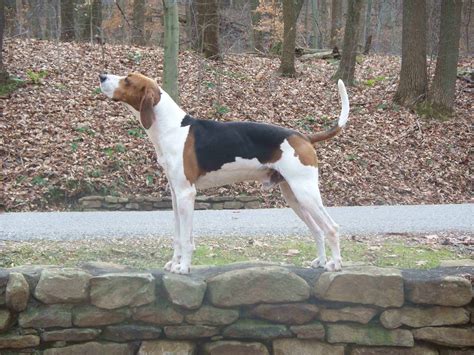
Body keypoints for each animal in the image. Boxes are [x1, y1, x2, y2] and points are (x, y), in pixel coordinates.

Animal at [100, 72, 350, 276]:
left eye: (127, 80)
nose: (102, 76)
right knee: (317, 230)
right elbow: (178, 236)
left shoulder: (186, 194)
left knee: (331, 228)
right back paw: (320, 261)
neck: (171, 127)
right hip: (294, 196)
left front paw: (184, 267)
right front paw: (174, 263)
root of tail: (303, 137)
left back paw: (335, 264)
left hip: (305, 192)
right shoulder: (175, 195)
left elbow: (186, 238)